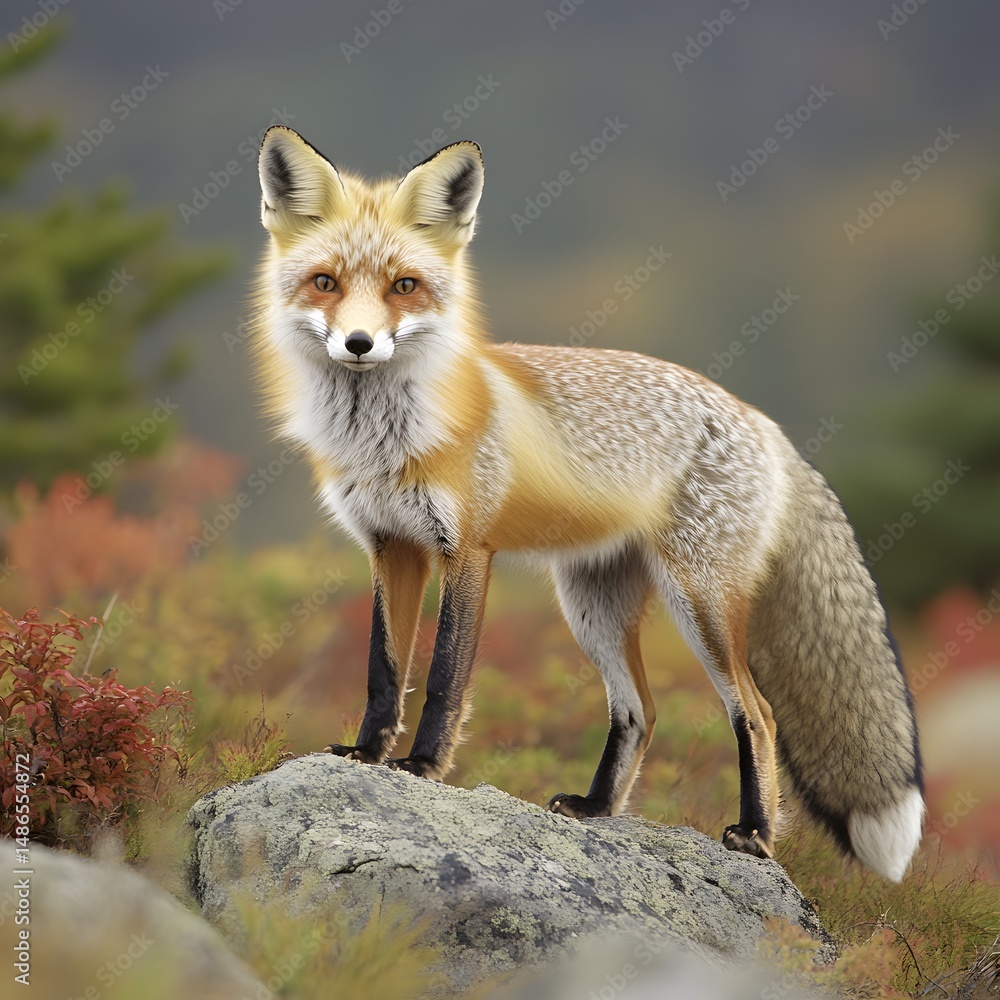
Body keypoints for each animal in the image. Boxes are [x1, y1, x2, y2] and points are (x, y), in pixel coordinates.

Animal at [251, 126, 924, 881]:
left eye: (405, 286)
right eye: (325, 282)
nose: (360, 344)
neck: (385, 441)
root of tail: (763, 423)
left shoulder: (467, 549)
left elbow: (445, 676)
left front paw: (421, 766)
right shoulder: (392, 548)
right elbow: (383, 670)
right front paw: (366, 755)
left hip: (700, 602)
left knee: (757, 712)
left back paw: (754, 834)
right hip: (591, 605)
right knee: (641, 711)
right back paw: (599, 808)